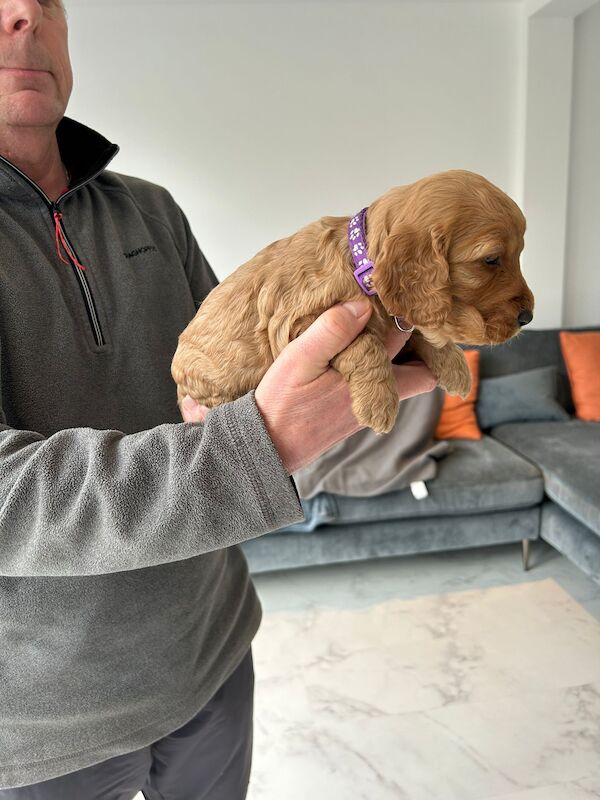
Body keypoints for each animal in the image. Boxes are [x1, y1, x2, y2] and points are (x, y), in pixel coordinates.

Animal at [172, 167, 536, 432]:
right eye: (491, 260)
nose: (528, 317)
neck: (358, 261)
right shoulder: (297, 323)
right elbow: (365, 343)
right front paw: (378, 401)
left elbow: (418, 332)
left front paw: (454, 365)